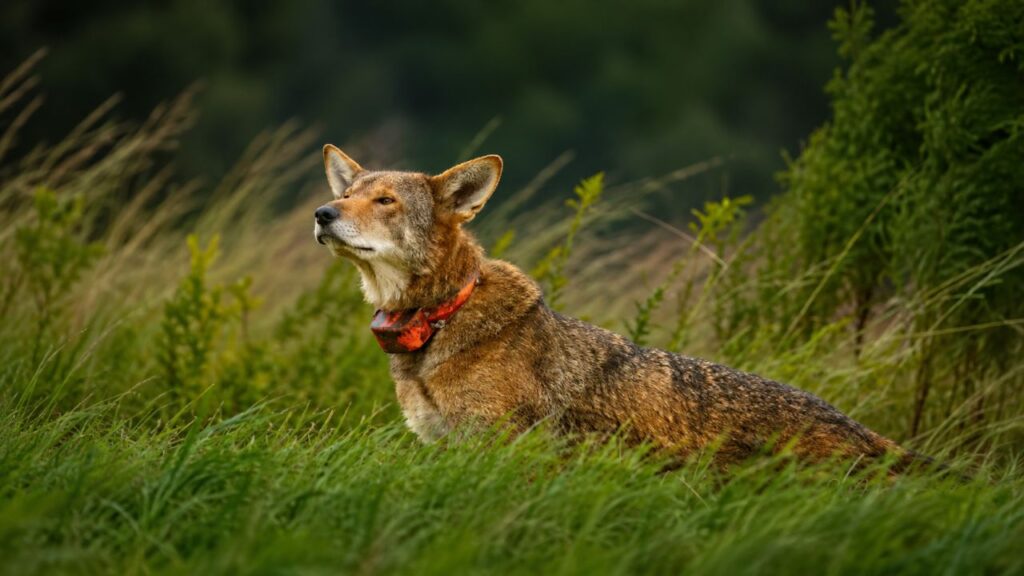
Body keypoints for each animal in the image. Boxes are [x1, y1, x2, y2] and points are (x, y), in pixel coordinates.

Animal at [313, 144, 912, 469]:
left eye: (385, 201)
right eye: (347, 195)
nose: (322, 213)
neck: (441, 319)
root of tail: (872, 437)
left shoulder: (500, 446)